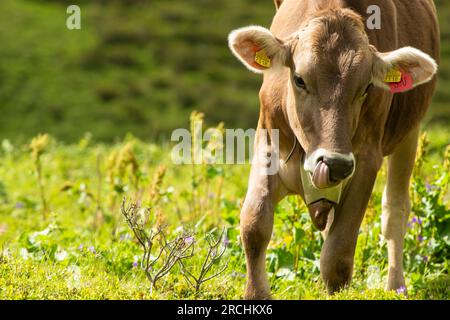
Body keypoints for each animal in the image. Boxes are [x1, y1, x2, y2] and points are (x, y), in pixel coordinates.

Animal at [227, 0, 438, 300]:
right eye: (299, 80)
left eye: (366, 88)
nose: (335, 163)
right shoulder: (267, 142)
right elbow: (254, 225)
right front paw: (257, 294)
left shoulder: (366, 161)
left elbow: (337, 254)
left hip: (409, 132)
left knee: (395, 209)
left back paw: (396, 285)